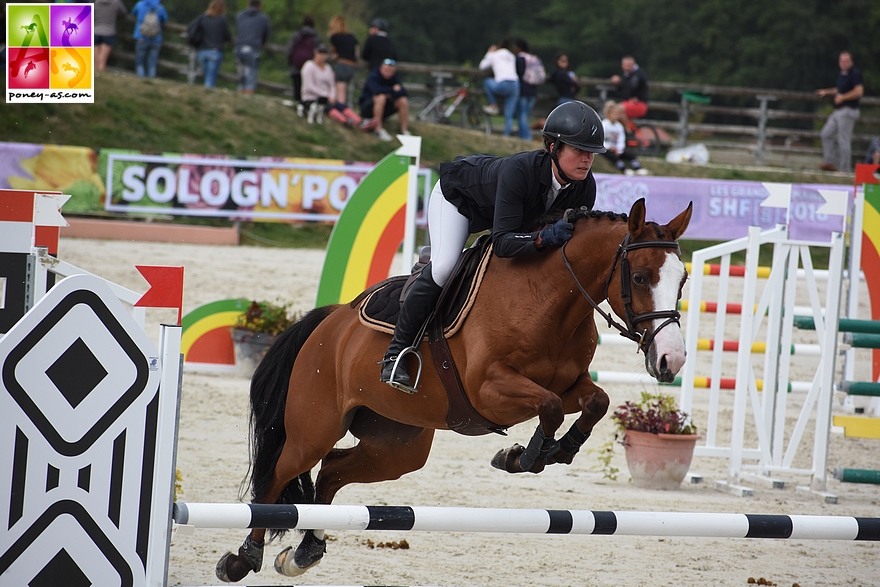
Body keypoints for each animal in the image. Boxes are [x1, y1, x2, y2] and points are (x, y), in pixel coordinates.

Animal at [217, 199, 692, 584]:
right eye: (640, 276)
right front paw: (527, 455)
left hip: (397, 446)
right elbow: (551, 406)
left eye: (683, 279)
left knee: (332, 470)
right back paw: (243, 558)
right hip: (314, 429)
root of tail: (330, 321)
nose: (671, 360)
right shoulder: (488, 389)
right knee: (278, 475)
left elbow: (596, 401)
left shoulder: (571, 382)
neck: (548, 298)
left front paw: (553, 451)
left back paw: (305, 552)